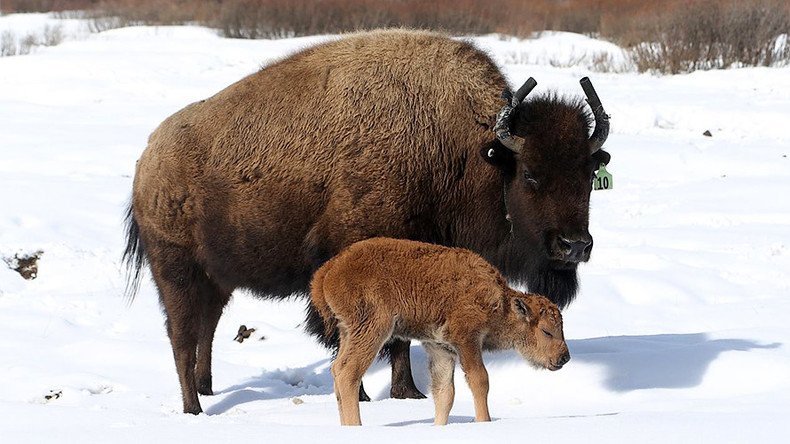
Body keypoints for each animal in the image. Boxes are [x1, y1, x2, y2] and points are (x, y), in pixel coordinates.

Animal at [312, 238, 572, 424]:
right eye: (547, 331)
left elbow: (445, 393)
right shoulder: (467, 340)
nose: (564, 357)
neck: (501, 302)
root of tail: (329, 269)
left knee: (337, 369)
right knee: (348, 373)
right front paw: (484, 422)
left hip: (348, 332)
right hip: (372, 330)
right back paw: (356, 426)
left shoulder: (441, 349)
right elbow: (480, 380)